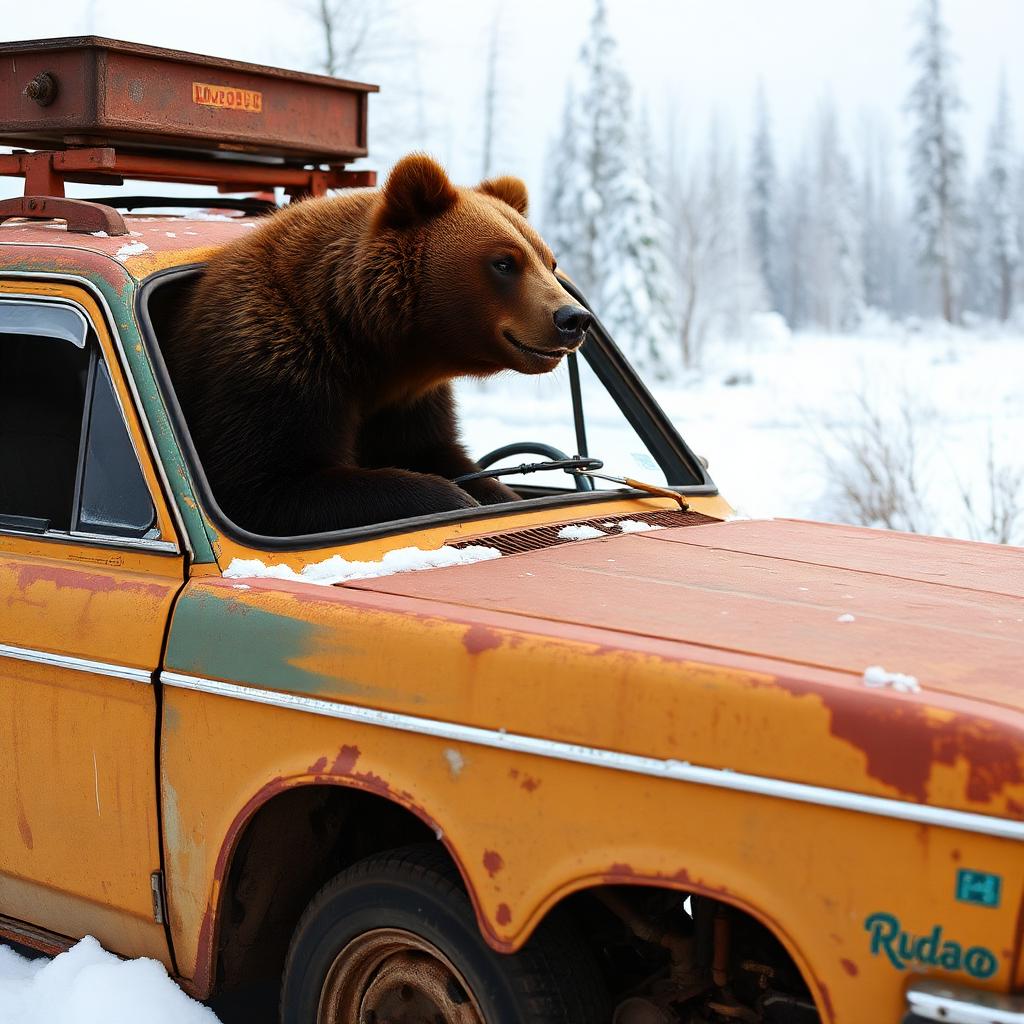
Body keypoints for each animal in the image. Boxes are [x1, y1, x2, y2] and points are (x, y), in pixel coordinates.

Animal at [165, 154, 592, 536]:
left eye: (550, 262)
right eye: (504, 262)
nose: (573, 318)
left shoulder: (410, 403)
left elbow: (439, 454)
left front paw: (492, 493)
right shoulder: (268, 368)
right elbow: (266, 483)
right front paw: (453, 499)